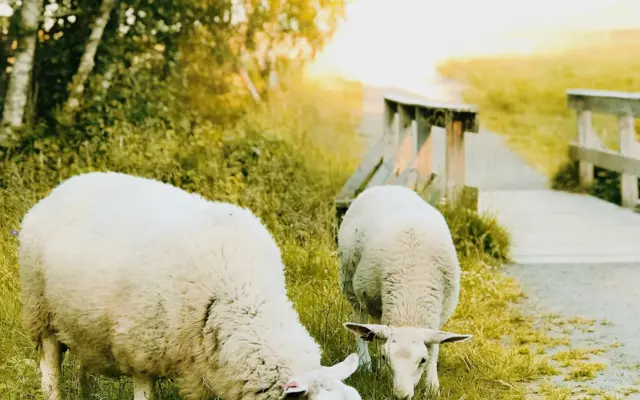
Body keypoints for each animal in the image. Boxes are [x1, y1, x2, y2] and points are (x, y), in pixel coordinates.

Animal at [19, 171, 363, 400]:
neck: (241, 300)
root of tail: (64, 186)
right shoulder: (142, 350)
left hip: (81, 326)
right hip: (41, 313)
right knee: (50, 370)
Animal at [337, 185, 472, 399]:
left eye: (422, 360)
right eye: (386, 357)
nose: (401, 396)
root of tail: (387, 186)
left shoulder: (439, 314)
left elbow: (435, 347)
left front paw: (432, 385)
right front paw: (380, 368)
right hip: (351, 282)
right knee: (360, 320)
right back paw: (366, 363)